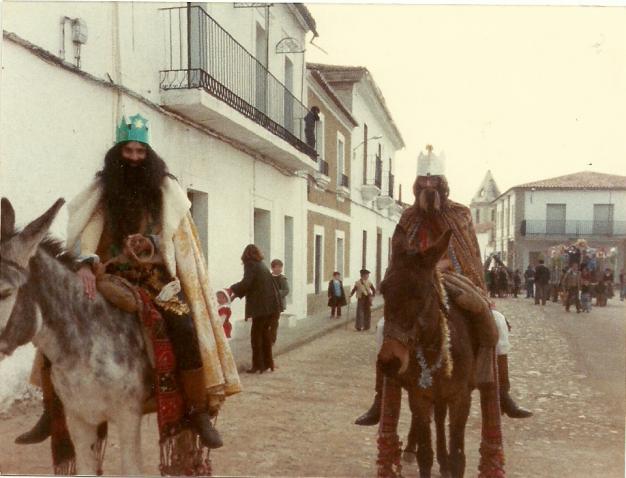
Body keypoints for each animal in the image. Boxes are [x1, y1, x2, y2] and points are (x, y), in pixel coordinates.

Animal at [378, 229, 476, 478]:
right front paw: (424, 454)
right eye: (384, 290)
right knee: (436, 419)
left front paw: (450, 462)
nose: (389, 361)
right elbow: (425, 454)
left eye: (420, 294)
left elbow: (458, 457)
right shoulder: (419, 396)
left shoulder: (461, 398)